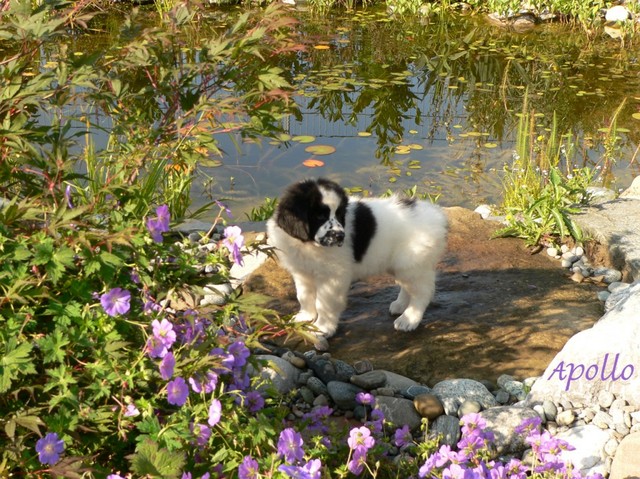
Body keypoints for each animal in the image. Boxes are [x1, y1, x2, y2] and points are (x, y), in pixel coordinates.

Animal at [266, 177, 448, 341]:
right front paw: (304, 317)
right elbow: (303, 296)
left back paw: (409, 319)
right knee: (409, 286)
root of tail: (438, 216)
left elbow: (324, 303)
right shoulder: (302, 272)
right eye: (319, 215)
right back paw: (400, 305)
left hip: (412, 263)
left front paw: (322, 328)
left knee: (423, 291)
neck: (309, 244)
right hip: (403, 265)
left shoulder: (332, 277)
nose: (340, 236)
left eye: (339, 214)